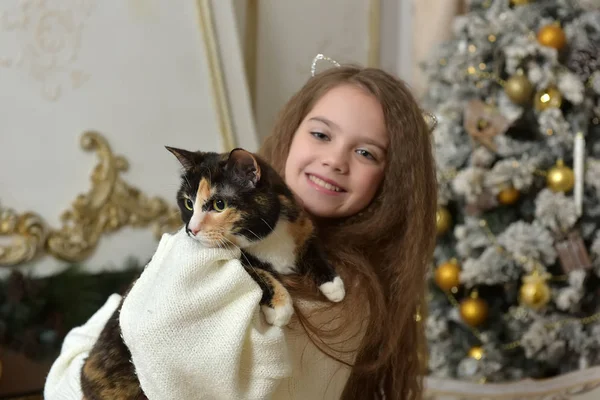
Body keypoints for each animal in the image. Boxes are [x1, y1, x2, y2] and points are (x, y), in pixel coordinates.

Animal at [80, 147, 344, 400]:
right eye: (188, 203)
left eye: (219, 204)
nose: (191, 229)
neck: (270, 239)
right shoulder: (236, 259)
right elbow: (256, 270)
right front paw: (280, 306)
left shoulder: (302, 226)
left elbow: (313, 250)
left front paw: (334, 286)